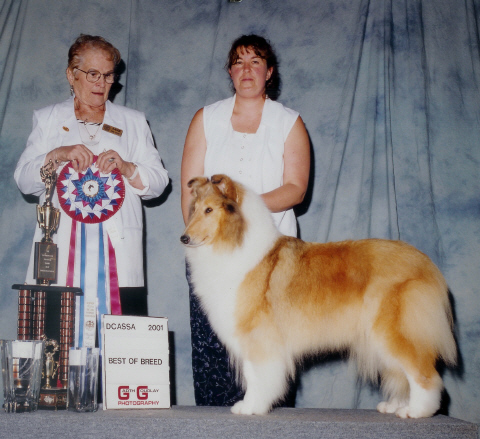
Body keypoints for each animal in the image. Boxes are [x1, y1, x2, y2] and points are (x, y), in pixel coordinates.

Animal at [179, 174, 454, 418]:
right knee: (402, 372)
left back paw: (416, 411)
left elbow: (255, 376)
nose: (184, 238)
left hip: (393, 329)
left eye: (209, 210)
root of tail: (426, 264)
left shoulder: (258, 335)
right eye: (194, 210)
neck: (234, 243)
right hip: (380, 336)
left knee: (424, 373)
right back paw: (395, 406)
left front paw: (250, 407)